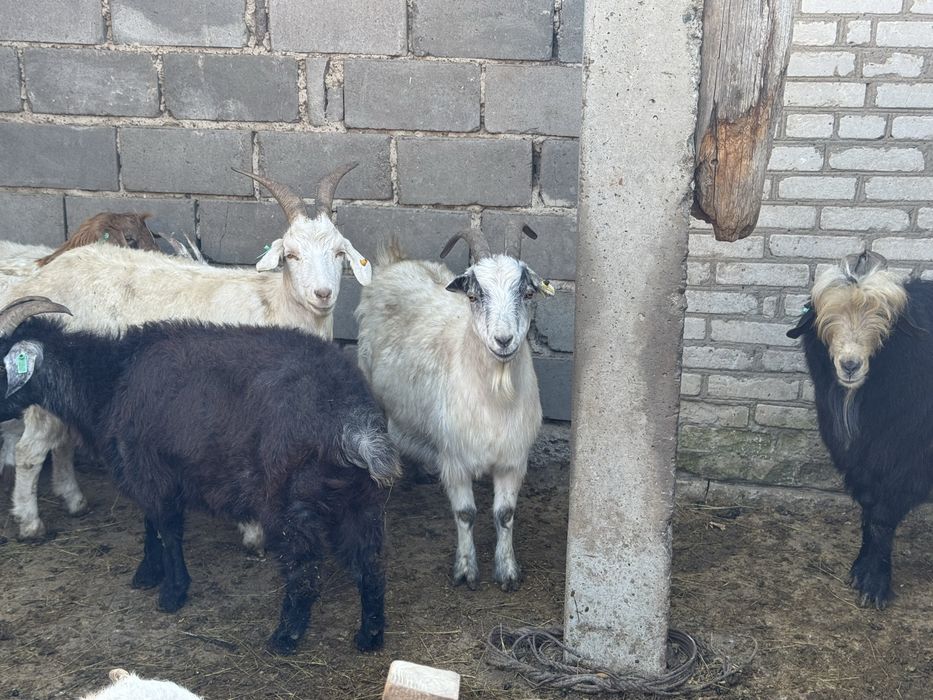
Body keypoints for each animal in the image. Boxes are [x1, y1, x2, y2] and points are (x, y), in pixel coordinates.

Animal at [0, 296, 399, 654]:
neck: (110, 380)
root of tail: (354, 424)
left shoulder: (150, 471)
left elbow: (167, 531)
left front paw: (172, 593)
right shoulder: (153, 475)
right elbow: (151, 525)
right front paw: (147, 575)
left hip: (287, 500)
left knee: (304, 570)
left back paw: (285, 639)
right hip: (361, 500)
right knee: (370, 565)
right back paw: (369, 637)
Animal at [1, 164, 370, 542]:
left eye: (339, 253)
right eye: (292, 255)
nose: (323, 294)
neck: (273, 304)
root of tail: (38, 277)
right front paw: (252, 531)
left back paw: (74, 501)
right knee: (29, 451)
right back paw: (30, 523)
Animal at [355, 225, 553, 591]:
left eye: (527, 294)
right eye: (474, 296)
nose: (504, 340)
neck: (495, 395)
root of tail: (397, 262)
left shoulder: (512, 459)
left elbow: (505, 515)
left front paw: (507, 571)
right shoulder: (455, 459)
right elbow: (465, 514)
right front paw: (465, 571)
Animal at [788, 251, 933, 608]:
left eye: (884, 317)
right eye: (825, 316)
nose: (850, 365)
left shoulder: (912, 459)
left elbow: (883, 514)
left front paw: (873, 582)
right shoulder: (858, 459)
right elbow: (869, 507)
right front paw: (862, 566)